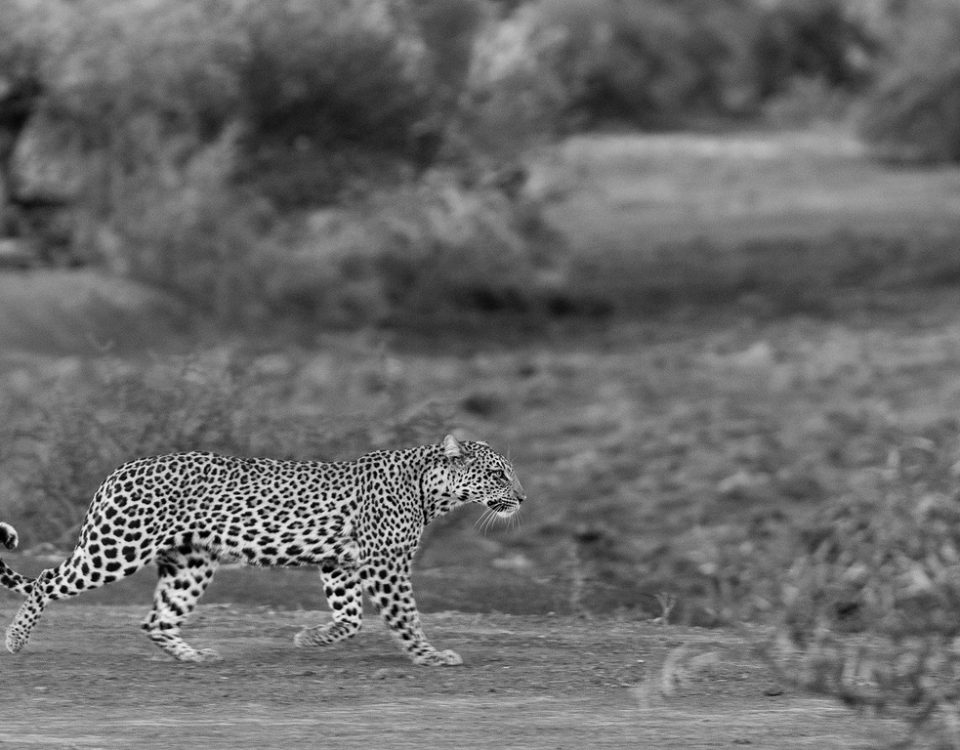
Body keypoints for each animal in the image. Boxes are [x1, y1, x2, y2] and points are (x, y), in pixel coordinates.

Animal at [0, 434, 525, 665]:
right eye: (497, 473)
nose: (521, 498)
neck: (431, 491)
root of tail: (118, 470)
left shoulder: (340, 563)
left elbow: (351, 617)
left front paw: (311, 638)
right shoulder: (386, 564)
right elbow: (406, 615)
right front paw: (429, 655)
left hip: (190, 563)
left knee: (156, 620)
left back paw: (194, 656)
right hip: (118, 547)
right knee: (45, 581)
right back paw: (16, 640)